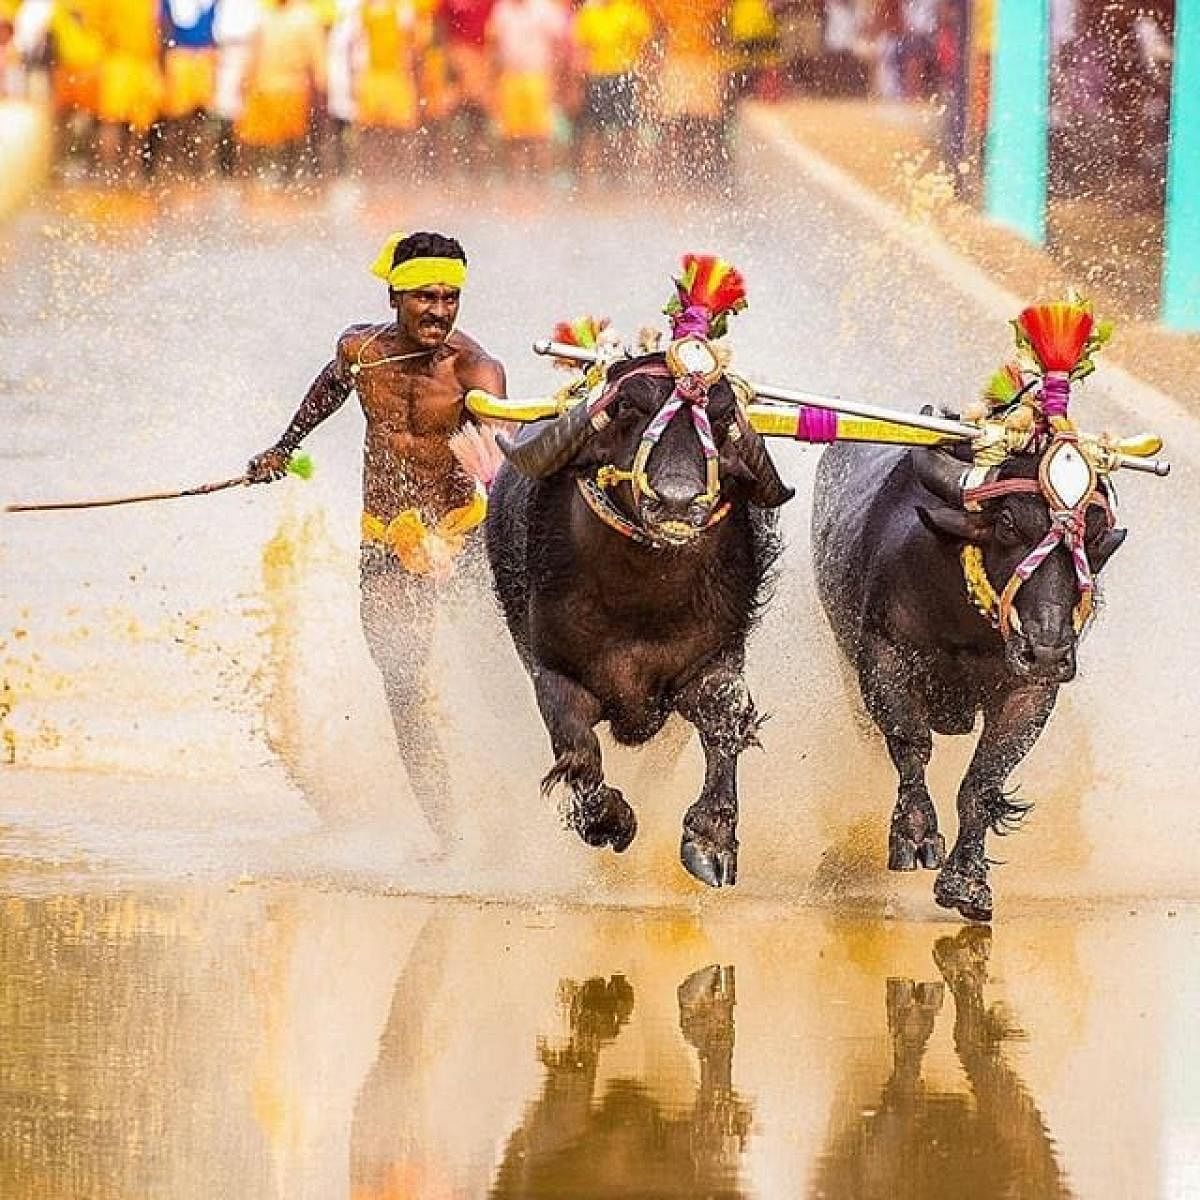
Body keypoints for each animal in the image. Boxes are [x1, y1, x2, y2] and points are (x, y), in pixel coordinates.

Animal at [482, 350, 792, 888]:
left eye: (722, 418)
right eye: (627, 407)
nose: (677, 502)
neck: (643, 604)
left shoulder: (716, 658)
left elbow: (724, 713)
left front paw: (710, 839)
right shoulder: (553, 672)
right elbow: (578, 747)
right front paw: (609, 821)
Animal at [811, 441, 1128, 916]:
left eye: (1090, 536)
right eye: (1007, 524)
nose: (1048, 651)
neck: (966, 623)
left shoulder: (1029, 690)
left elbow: (983, 780)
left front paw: (966, 879)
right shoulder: (883, 656)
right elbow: (911, 743)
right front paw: (915, 834)